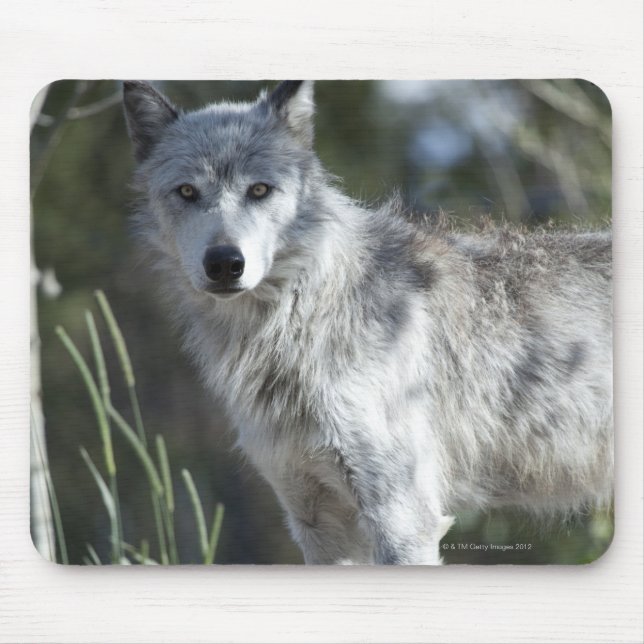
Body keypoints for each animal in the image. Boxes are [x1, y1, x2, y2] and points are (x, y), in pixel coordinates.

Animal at [123, 80, 613, 564]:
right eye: (187, 192)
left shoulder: (403, 519)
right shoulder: (316, 521)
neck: (300, 327)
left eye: (259, 190)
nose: (225, 263)